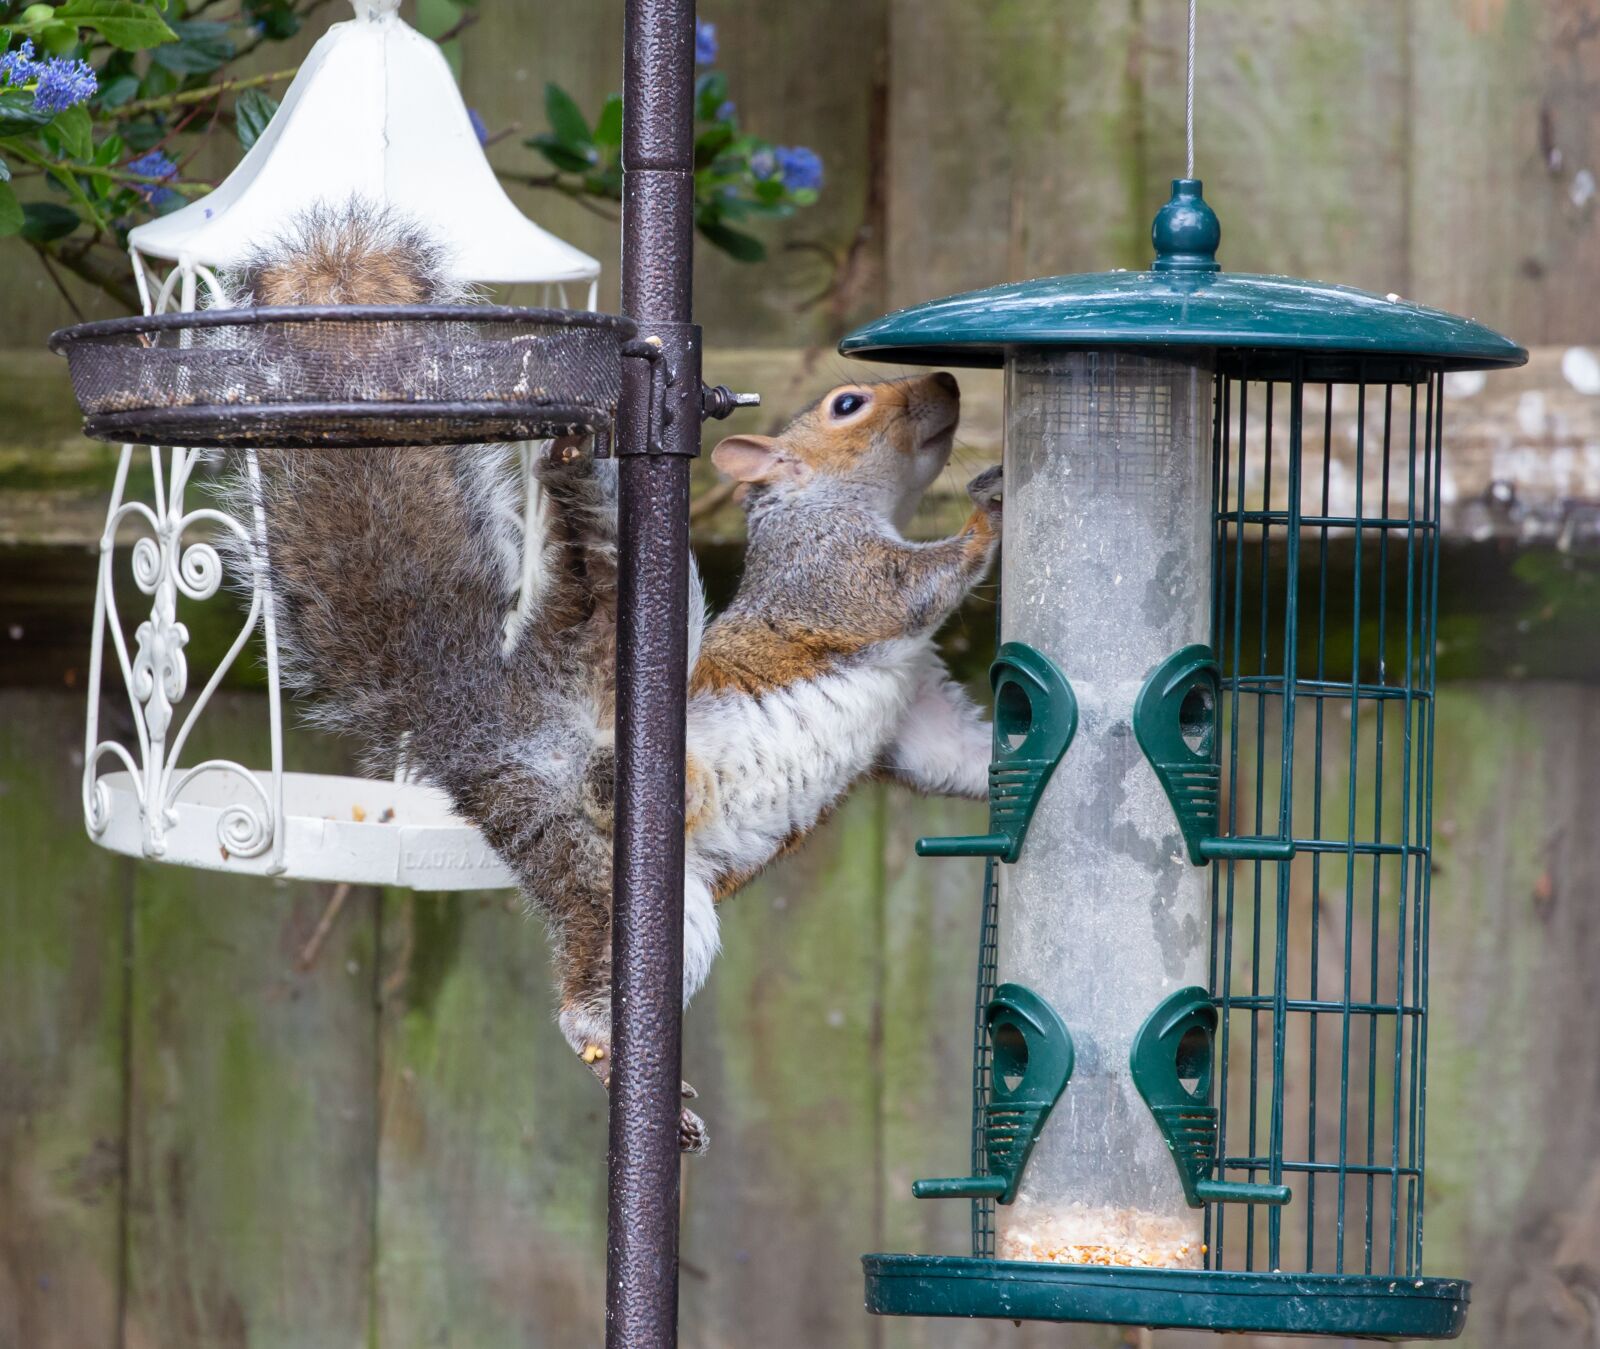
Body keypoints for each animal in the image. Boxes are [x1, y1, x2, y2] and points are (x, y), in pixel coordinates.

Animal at [226, 202, 1003, 1152]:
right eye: (847, 403)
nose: (950, 383)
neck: (854, 509)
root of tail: (489, 727)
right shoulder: (828, 581)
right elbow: (906, 585)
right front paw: (988, 509)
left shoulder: (913, 711)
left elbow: (953, 756)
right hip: (596, 830)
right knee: (578, 1003)